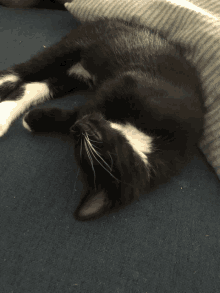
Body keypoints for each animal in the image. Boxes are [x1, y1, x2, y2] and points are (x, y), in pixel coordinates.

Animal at [0, 17, 205, 219]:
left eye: (81, 147)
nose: (78, 127)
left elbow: (79, 112)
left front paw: (34, 119)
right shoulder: (130, 85)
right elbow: (91, 105)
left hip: (72, 77)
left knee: (34, 86)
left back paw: (5, 115)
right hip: (74, 45)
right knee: (21, 71)